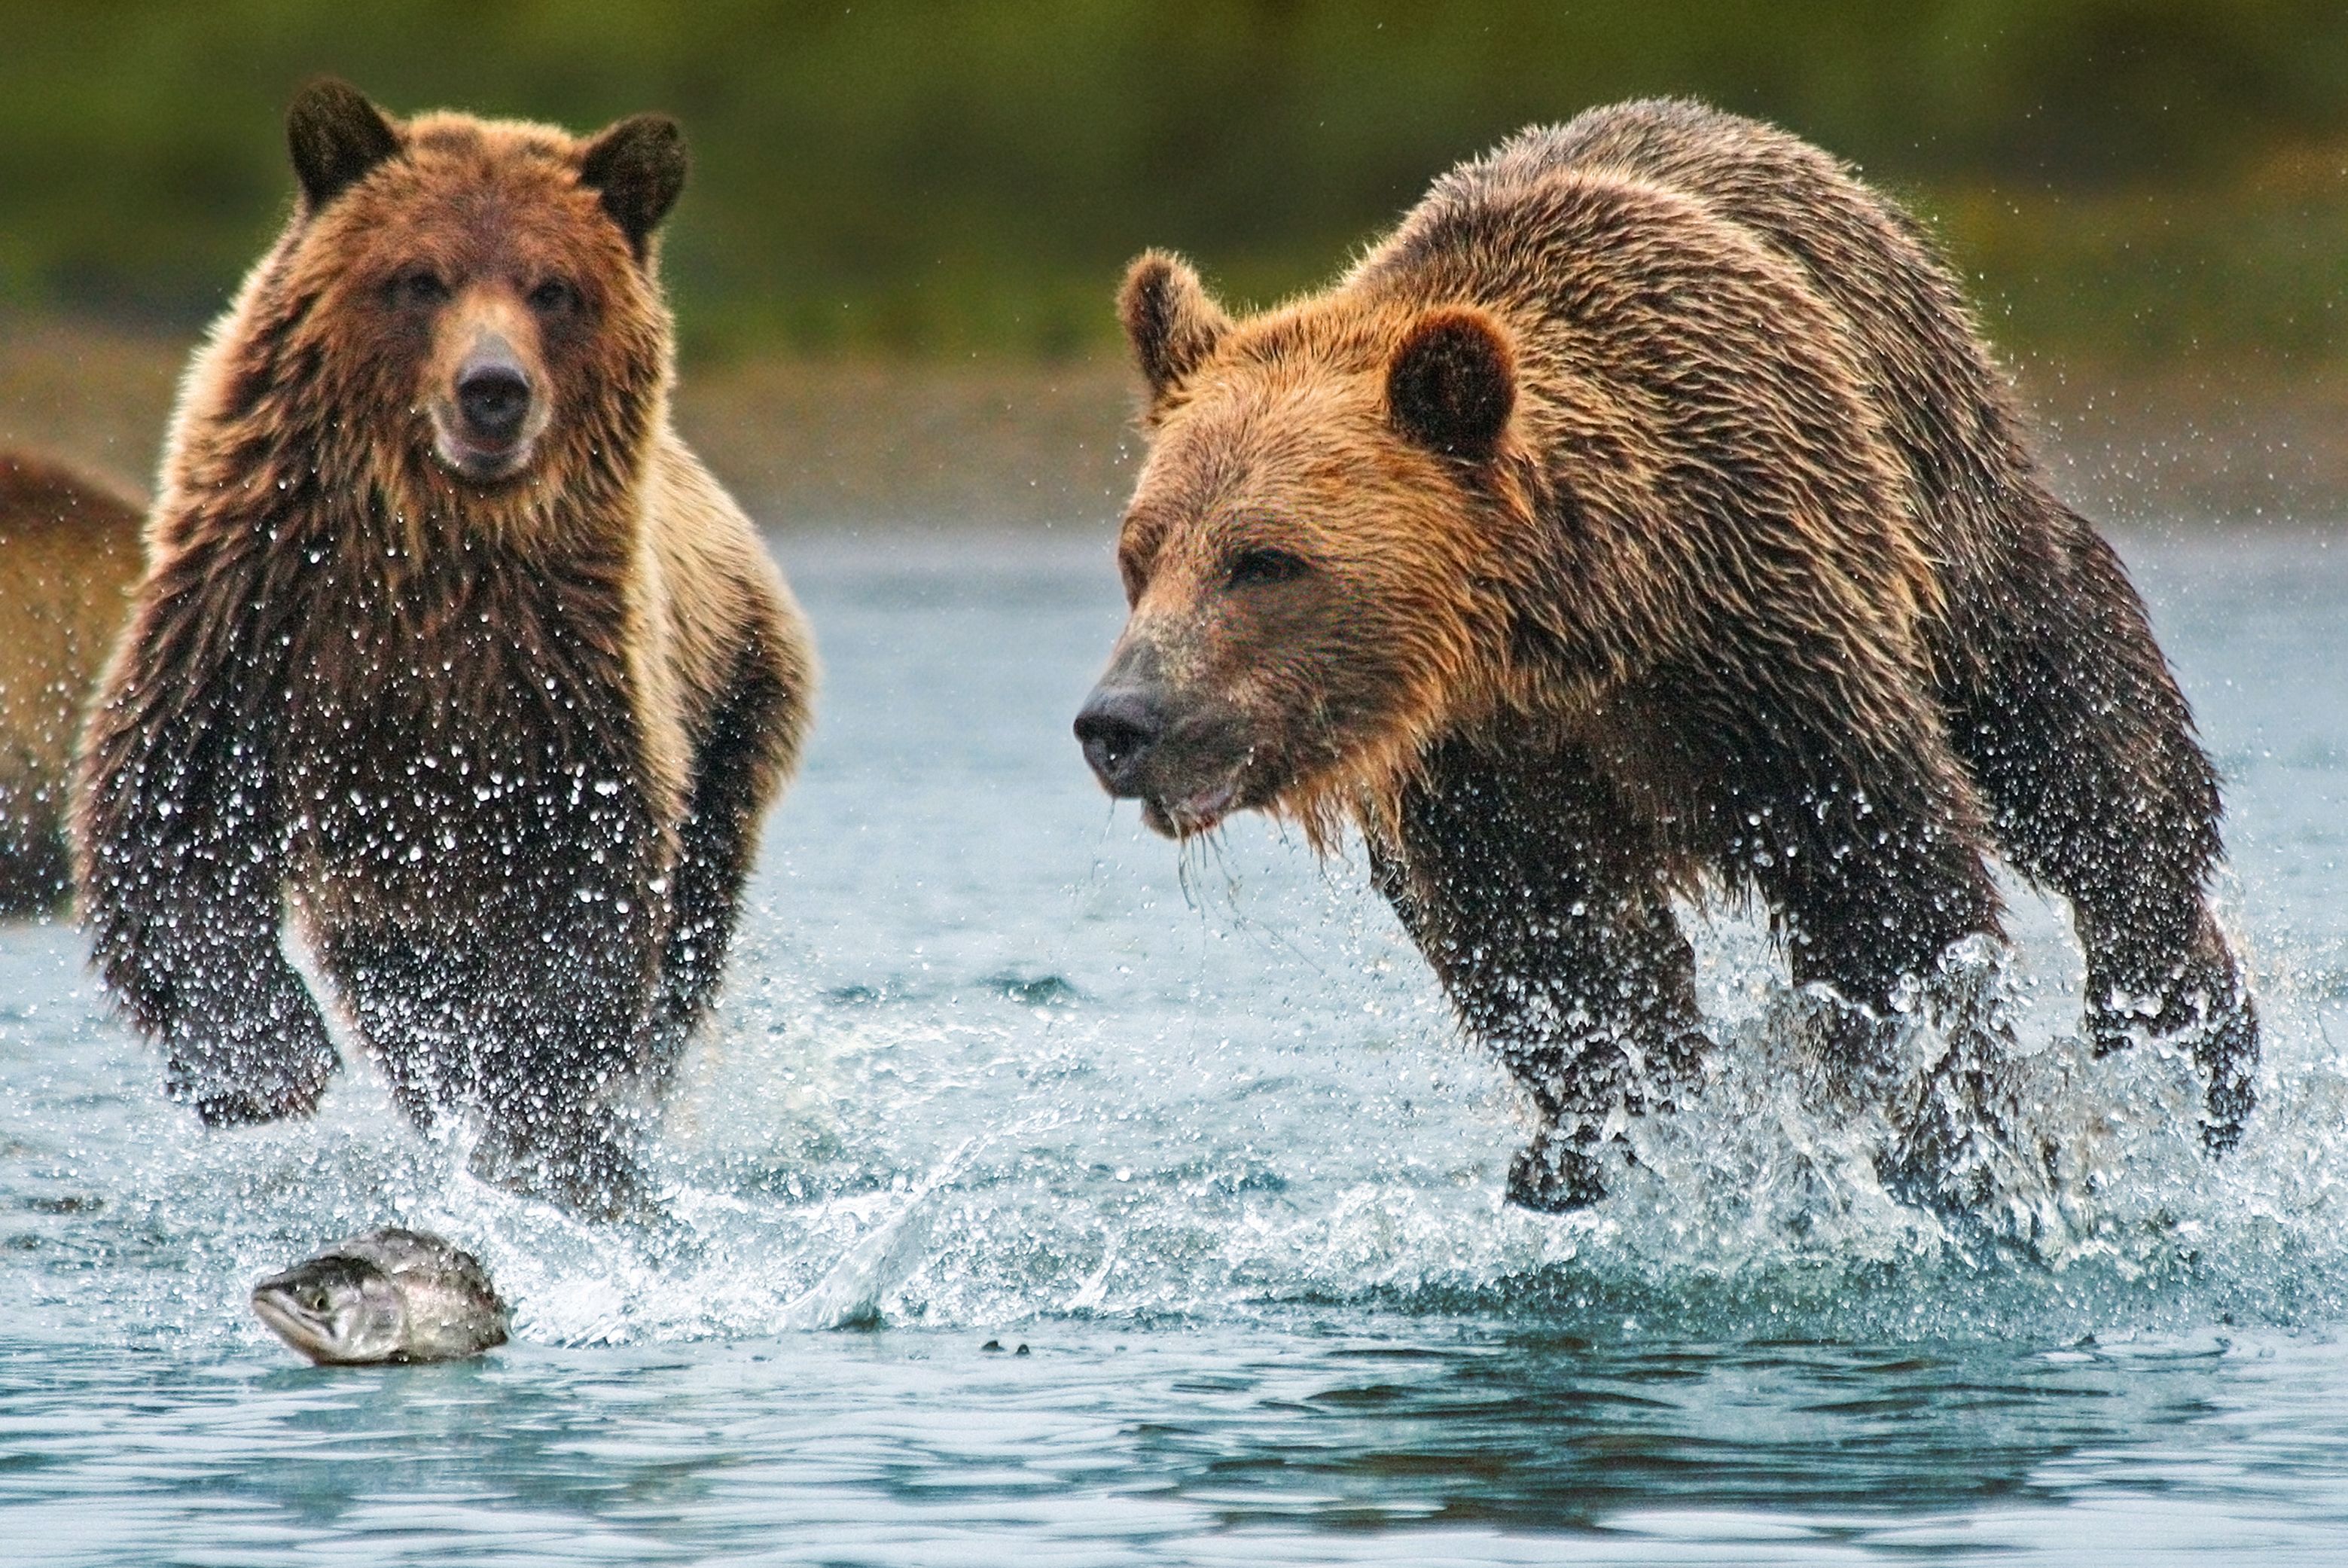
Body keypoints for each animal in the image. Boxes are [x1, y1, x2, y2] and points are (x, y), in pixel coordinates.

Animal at [73, 79, 817, 1220]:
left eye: (553, 288)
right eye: (420, 277)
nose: (493, 387)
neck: (433, 541)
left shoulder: (564, 674)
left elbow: (586, 892)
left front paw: (540, 1109)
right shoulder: (257, 616)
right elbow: (172, 810)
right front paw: (268, 1063)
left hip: (736, 708)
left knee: (681, 941)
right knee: (403, 987)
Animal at [1075, 98, 2254, 1220]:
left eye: (1263, 560)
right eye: (1139, 554)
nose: (1120, 723)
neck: (1583, 626)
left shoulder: (1768, 635)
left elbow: (1889, 884)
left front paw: (1943, 1131)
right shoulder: (1479, 763)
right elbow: (1552, 946)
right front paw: (1615, 1132)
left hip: (1946, 497)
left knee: (2078, 736)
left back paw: (2185, 1018)